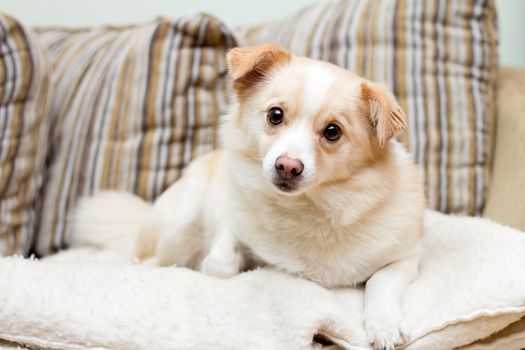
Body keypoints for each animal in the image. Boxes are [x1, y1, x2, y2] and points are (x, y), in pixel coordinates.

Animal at [73, 43, 424, 350]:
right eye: (275, 115)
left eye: (332, 132)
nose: (287, 166)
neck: (308, 208)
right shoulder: (227, 218)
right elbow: (221, 262)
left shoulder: (406, 259)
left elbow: (380, 280)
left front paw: (385, 325)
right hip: (180, 225)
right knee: (149, 258)